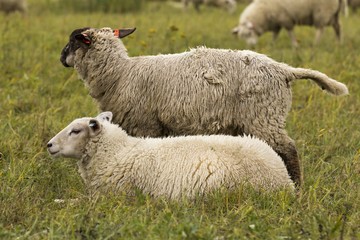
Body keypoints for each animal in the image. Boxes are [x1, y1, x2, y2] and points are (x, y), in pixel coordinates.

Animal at [59, 26, 348, 186]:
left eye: (72, 42)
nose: (61, 57)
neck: (120, 74)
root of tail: (284, 70)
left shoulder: (145, 124)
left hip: (264, 115)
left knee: (288, 149)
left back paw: (297, 187)